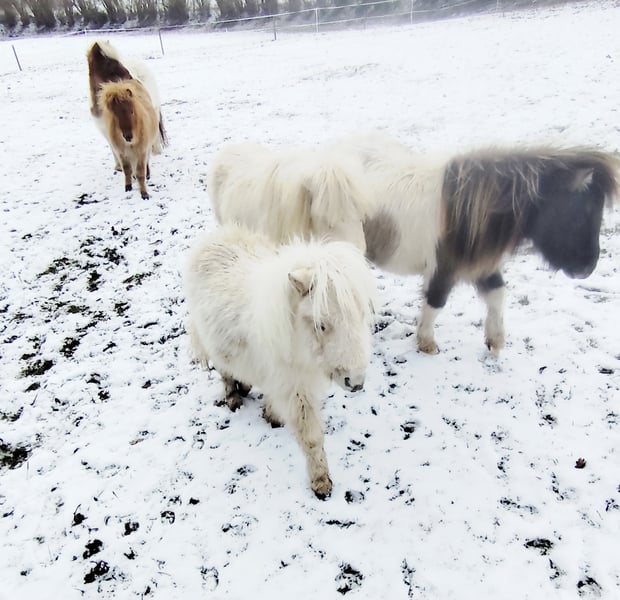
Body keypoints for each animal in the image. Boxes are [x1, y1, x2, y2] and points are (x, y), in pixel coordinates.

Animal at [86, 40, 167, 171]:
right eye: (110, 62)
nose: (132, 78)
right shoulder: (106, 130)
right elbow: (114, 149)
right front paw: (119, 166)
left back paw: (156, 151)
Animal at [184, 224, 376, 498]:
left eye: (361, 315)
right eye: (321, 324)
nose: (356, 381)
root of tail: (213, 239)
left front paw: (272, 416)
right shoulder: (294, 387)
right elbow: (311, 436)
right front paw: (321, 482)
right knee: (224, 371)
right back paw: (233, 396)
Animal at [338, 134, 619, 354]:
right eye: (580, 215)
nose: (586, 269)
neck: (466, 210)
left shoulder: (482, 265)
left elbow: (497, 294)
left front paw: (495, 341)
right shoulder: (443, 268)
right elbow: (436, 302)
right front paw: (426, 343)